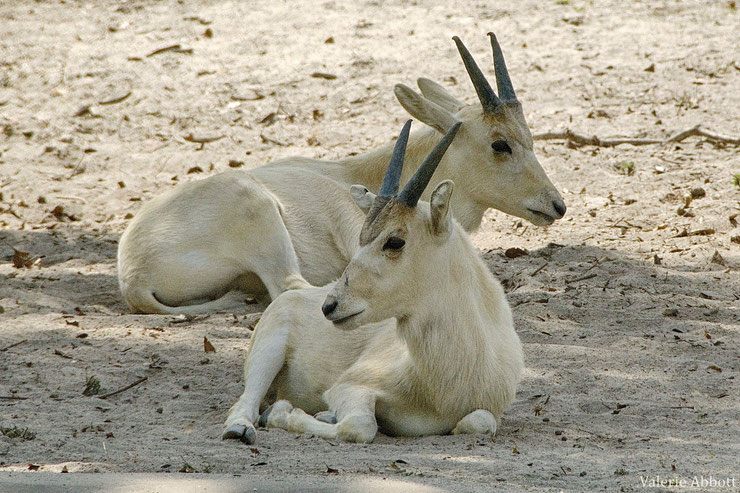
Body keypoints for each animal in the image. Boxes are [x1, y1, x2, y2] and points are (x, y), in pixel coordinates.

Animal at [117, 34, 568, 314]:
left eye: (529, 136)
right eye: (500, 144)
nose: (557, 205)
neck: (365, 174)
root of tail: (133, 273)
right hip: (256, 207)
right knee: (291, 287)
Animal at [223, 121, 524, 444]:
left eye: (394, 241)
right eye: (362, 238)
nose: (330, 305)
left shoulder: (486, 411)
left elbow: (480, 421)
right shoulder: (349, 386)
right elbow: (361, 425)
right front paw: (284, 413)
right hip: (268, 352)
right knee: (246, 401)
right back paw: (240, 427)